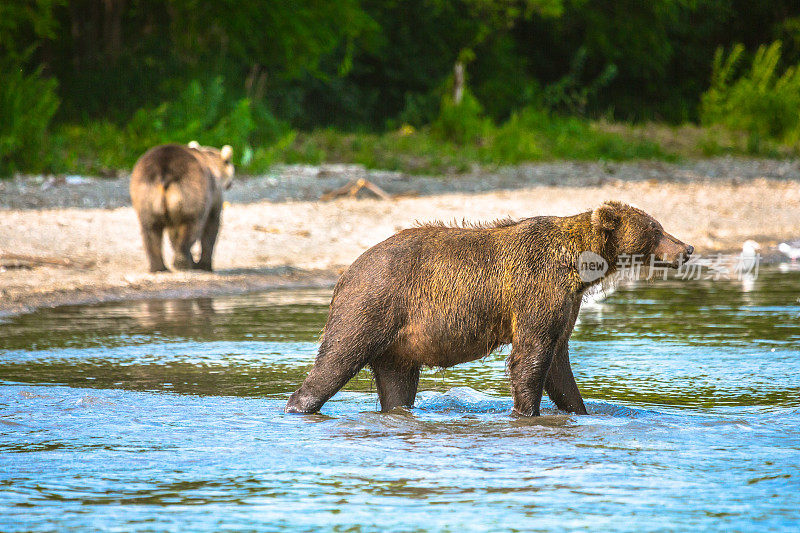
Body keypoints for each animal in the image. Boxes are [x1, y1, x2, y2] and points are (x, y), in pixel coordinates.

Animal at [130, 141, 233, 272]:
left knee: (150, 229)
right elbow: (211, 225)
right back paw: (182, 263)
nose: (230, 184)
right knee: (190, 227)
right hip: (191, 192)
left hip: (144, 193)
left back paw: (158, 267)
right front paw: (204, 265)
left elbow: (172, 233)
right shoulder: (214, 194)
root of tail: (164, 170)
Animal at [284, 200, 692, 416]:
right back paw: (297, 406)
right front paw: (526, 412)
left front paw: (579, 409)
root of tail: (346, 272)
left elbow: (559, 364)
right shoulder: (536, 288)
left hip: (398, 342)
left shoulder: (565, 303)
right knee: (336, 359)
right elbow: (531, 357)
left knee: (397, 385)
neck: (578, 265)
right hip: (373, 303)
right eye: (656, 228)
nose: (686, 248)